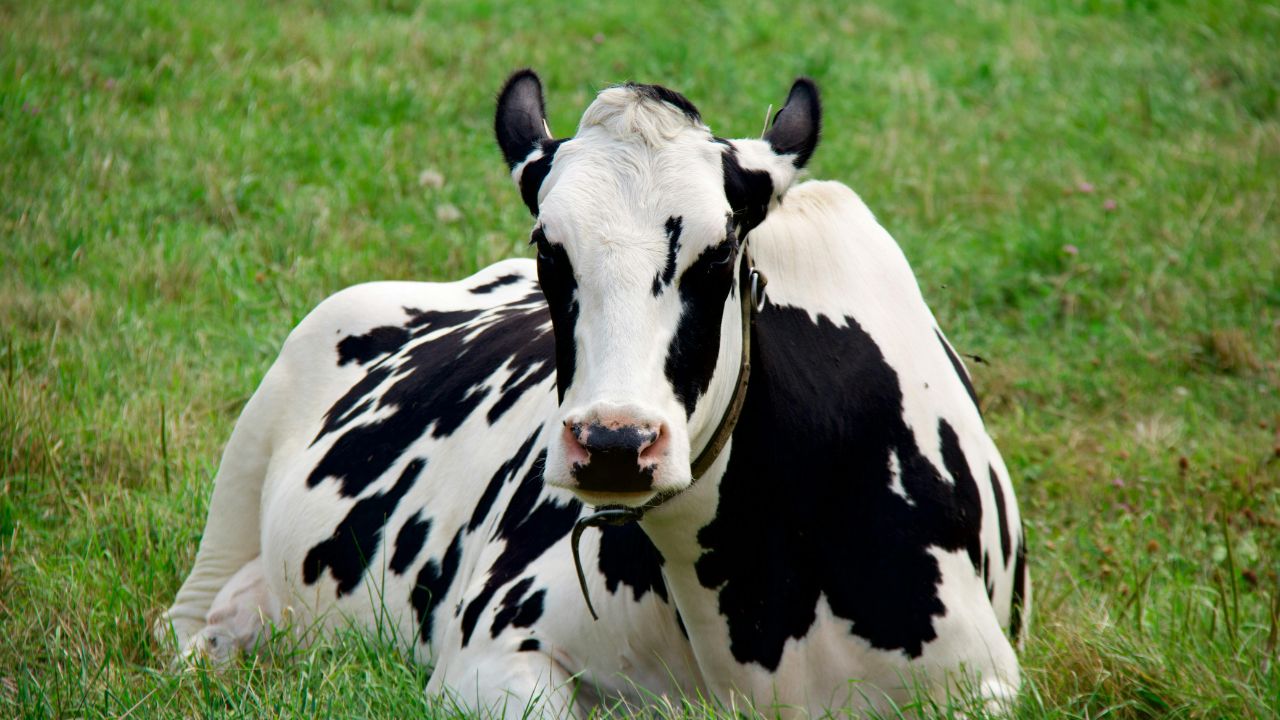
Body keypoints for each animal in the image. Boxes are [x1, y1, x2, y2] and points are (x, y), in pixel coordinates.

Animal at [157, 70, 1029, 717]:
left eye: (720, 255)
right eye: (551, 251)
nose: (614, 443)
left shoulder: (983, 683)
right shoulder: (487, 657)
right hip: (242, 472)